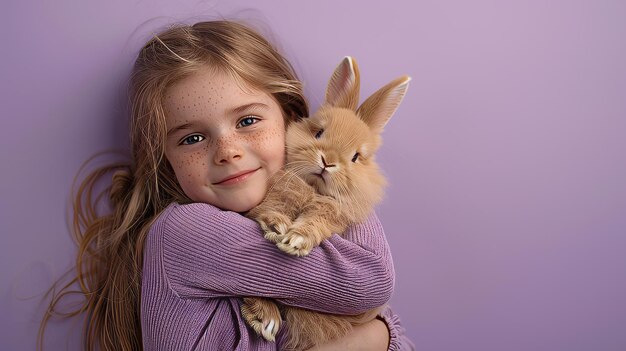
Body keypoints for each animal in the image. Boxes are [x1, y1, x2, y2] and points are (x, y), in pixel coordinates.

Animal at [240, 56, 410, 350]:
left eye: (355, 157)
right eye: (319, 132)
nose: (328, 161)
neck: (313, 189)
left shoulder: (331, 214)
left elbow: (313, 225)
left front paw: (295, 241)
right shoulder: (274, 196)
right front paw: (276, 226)